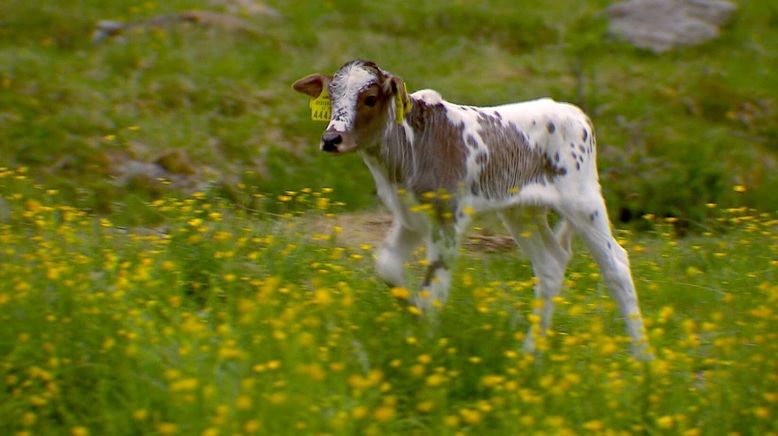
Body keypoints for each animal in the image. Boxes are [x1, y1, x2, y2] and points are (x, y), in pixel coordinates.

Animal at [292, 58, 648, 358]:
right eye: (331, 97)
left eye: (369, 98)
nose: (331, 139)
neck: (409, 149)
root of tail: (575, 112)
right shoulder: (410, 217)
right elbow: (388, 267)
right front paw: (414, 323)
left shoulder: (448, 218)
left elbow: (433, 288)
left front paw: (427, 351)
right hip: (522, 212)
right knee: (551, 264)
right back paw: (530, 354)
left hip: (583, 201)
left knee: (616, 265)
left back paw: (642, 359)